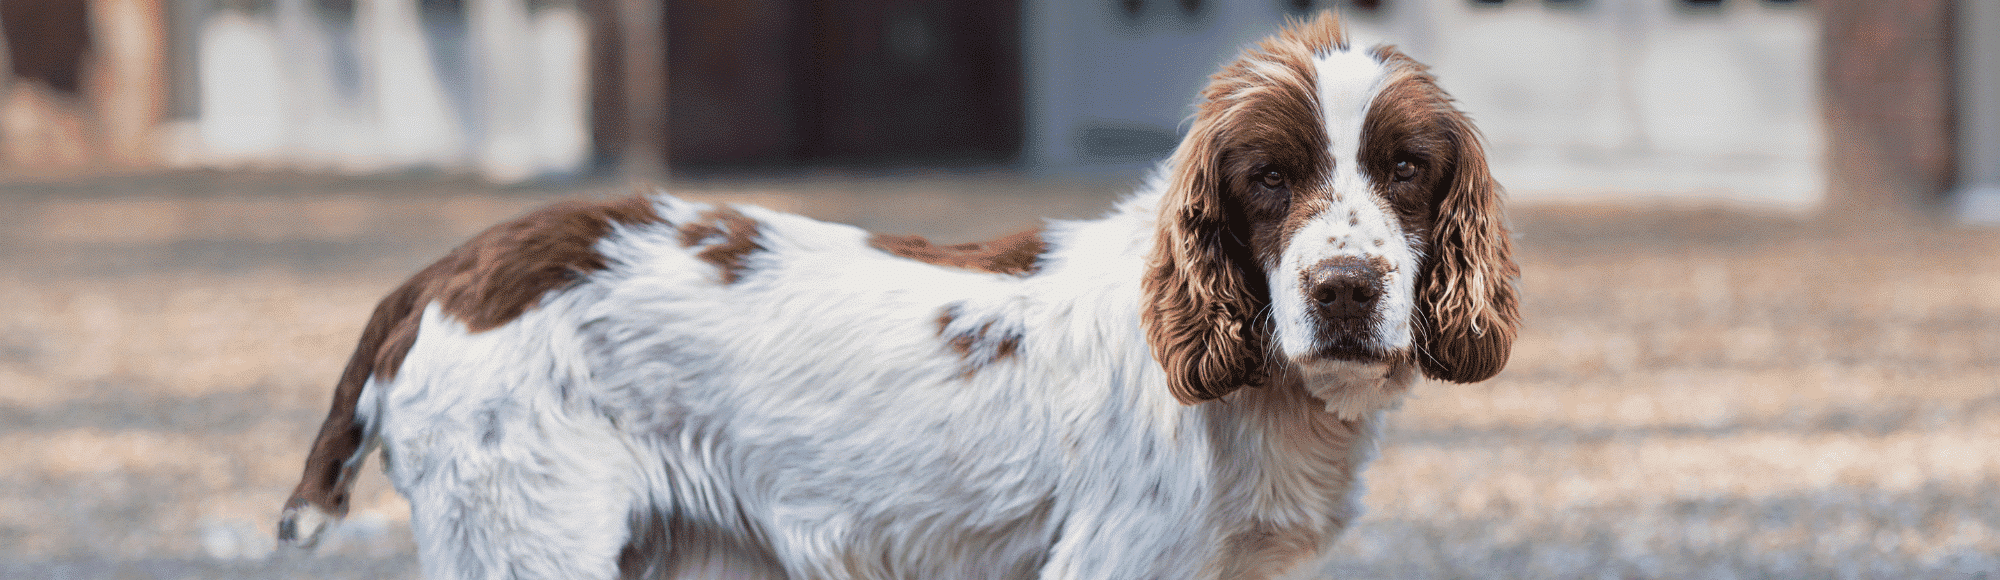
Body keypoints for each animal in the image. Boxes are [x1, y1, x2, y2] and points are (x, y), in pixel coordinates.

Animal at [270, 13, 1512, 580]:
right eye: (1265, 178)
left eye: (1406, 167)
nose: (1344, 289)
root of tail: (444, 274)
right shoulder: (1118, 556)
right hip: (527, 536)